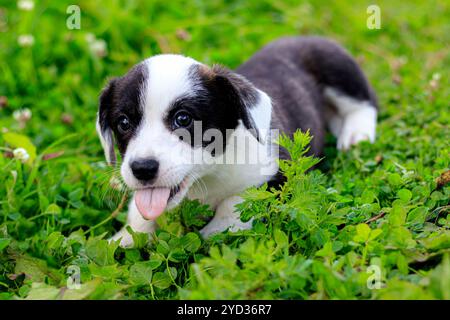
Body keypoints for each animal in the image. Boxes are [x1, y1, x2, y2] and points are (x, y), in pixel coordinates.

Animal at [96, 36, 378, 246]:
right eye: (123, 123)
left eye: (183, 119)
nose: (142, 169)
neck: (207, 177)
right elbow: (139, 214)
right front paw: (123, 239)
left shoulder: (278, 172)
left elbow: (238, 201)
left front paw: (215, 231)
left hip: (338, 68)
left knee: (365, 103)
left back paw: (356, 134)